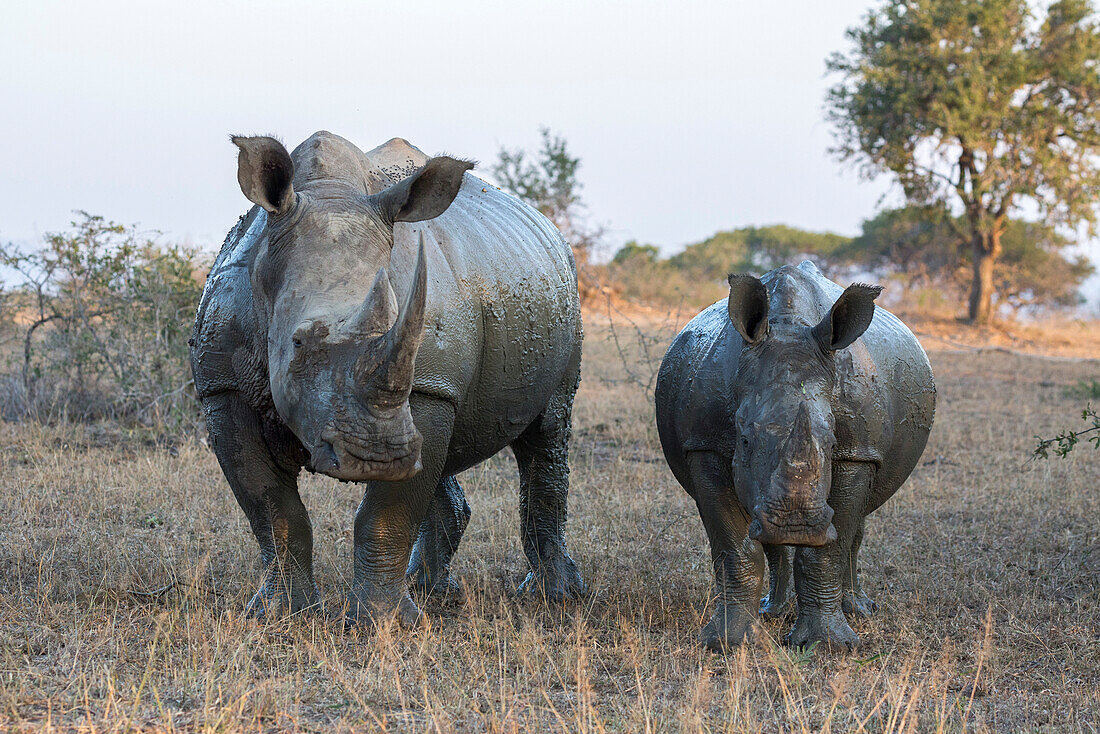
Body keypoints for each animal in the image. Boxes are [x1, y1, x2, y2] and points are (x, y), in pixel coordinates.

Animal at [191, 132, 585, 625]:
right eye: (297, 343)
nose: (379, 456)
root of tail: (552, 232)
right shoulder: (225, 389)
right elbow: (271, 510)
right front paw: (279, 615)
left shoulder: (429, 386)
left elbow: (386, 515)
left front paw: (382, 623)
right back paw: (431, 589)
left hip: (564, 296)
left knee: (548, 430)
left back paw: (554, 595)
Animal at [655, 260, 932, 651]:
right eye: (743, 440)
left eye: (831, 443)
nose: (796, 524)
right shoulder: (705, 444)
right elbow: (734, 548)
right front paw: (727, 642)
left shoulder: (857, 453)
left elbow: (828, 548)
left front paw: (828, 645)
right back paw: (773, 611)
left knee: (856, 523)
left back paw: (858, 610)